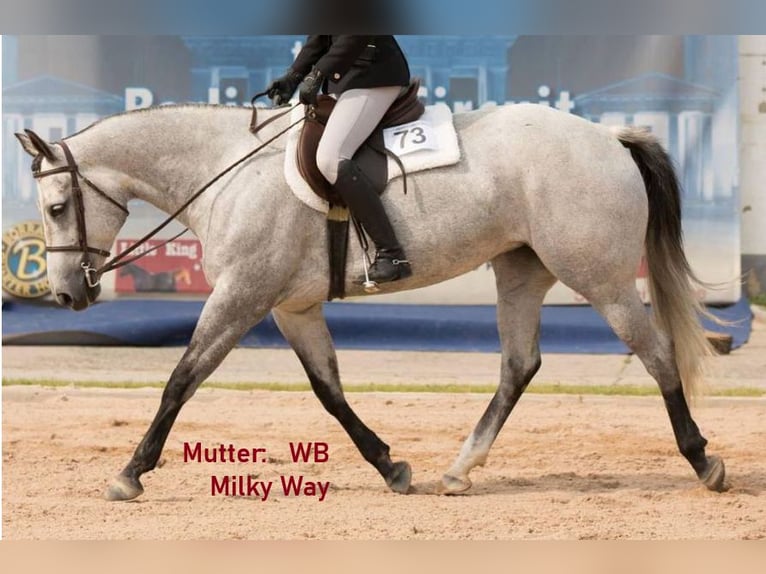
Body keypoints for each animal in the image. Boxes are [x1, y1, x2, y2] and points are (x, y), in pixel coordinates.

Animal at [15, 100, 726, 501]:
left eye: (57, 208)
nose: (66, 294)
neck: (225, 171)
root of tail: (608, 137)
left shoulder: (242, 295)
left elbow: (181, 380)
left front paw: (130, 474)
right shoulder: (291, 309)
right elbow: (329, 392)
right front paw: (391, 467)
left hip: (598, 277)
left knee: (657, 355)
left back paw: (703, 461)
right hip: (521, 271)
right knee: (519, 365)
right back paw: (458, 471)